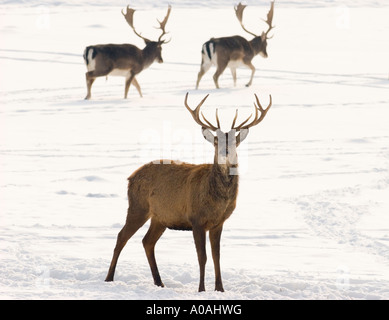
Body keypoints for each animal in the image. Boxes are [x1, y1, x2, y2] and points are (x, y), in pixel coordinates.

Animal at [104, 91, 272, 292]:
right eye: (216, 141)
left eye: (234, 142)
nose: (224, 152)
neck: (218, 200)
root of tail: (131, 177)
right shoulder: (196, 219)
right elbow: (202, 257)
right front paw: (201, 289)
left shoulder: (218, 223)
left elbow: (217, 257)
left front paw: (220, 289)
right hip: (138, 206)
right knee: (122, 236)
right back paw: (109, 278)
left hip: (160, 217)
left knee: (147, 241)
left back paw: (159, 282)